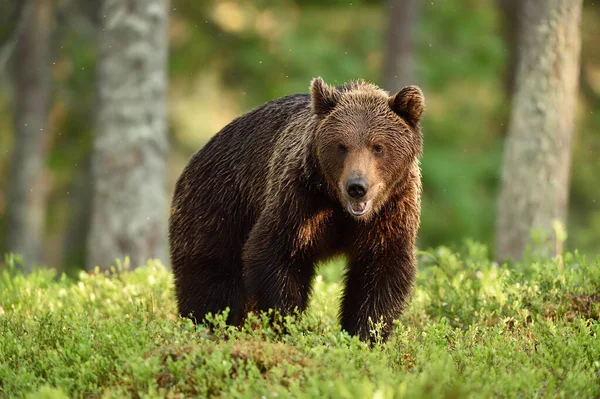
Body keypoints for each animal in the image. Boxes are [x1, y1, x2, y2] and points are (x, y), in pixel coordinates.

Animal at [166, 77, 424, 344]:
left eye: (378, 146)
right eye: (342, 146)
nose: (356, 187)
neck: (338, 206)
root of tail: (199, 153)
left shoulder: (392, 212)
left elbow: (381, 270)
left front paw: (364, 335)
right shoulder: (299, 198)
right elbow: (275, 254)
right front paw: (286, 322)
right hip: (218, 206)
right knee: (211, 278)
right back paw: (208, 326)